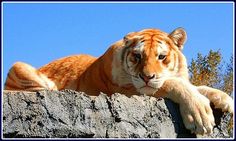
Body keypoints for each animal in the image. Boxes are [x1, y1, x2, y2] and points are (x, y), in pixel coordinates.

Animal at [4, 27, 233, 135]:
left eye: (161, 57)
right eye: (137, 56)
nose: (147, 76)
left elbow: (196, 86)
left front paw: (225, 99)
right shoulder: (128, 89)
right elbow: (172, 84)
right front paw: (201, 116)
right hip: (19, 66)